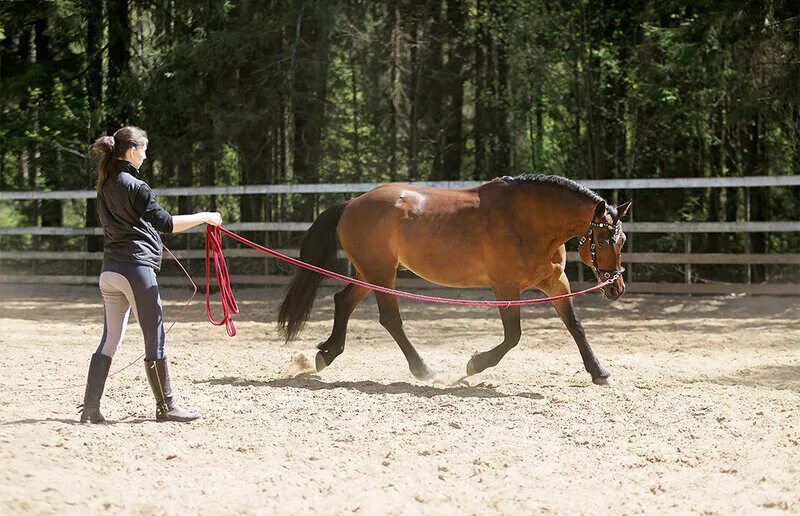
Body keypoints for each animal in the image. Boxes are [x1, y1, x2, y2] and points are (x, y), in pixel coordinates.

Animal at [278, 175, 628, 384]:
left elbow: (575, 327)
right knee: (390, 318)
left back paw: (326, 353)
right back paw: (423, 369)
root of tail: (352, 203)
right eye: (603, 241)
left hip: (368, 273)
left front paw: (599, 372)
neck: (527, 221)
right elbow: (513, 336)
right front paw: (476, 365)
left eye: (622, 241)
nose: (616, 287)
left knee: (343, 302)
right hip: (381, 273)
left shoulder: (556, 282)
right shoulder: (505, 286)